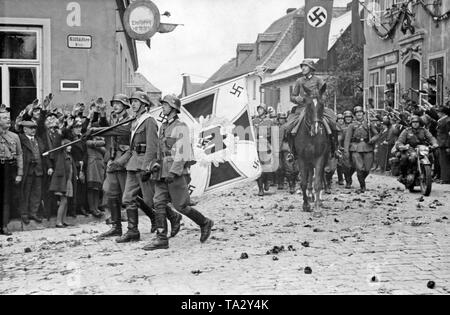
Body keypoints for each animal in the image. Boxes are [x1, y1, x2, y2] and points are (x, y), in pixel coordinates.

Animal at [296, 85, 330, 216]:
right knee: (310, 176)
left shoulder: (320, 158)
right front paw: (306, 205)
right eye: (308, 104)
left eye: (322, 104)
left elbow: (317, 183)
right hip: (308, 161)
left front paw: (316, 209)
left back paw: (318, 200)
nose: (316, 128)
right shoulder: (301, 159)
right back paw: (310, 196)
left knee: (319, 177)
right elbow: (303, 183)